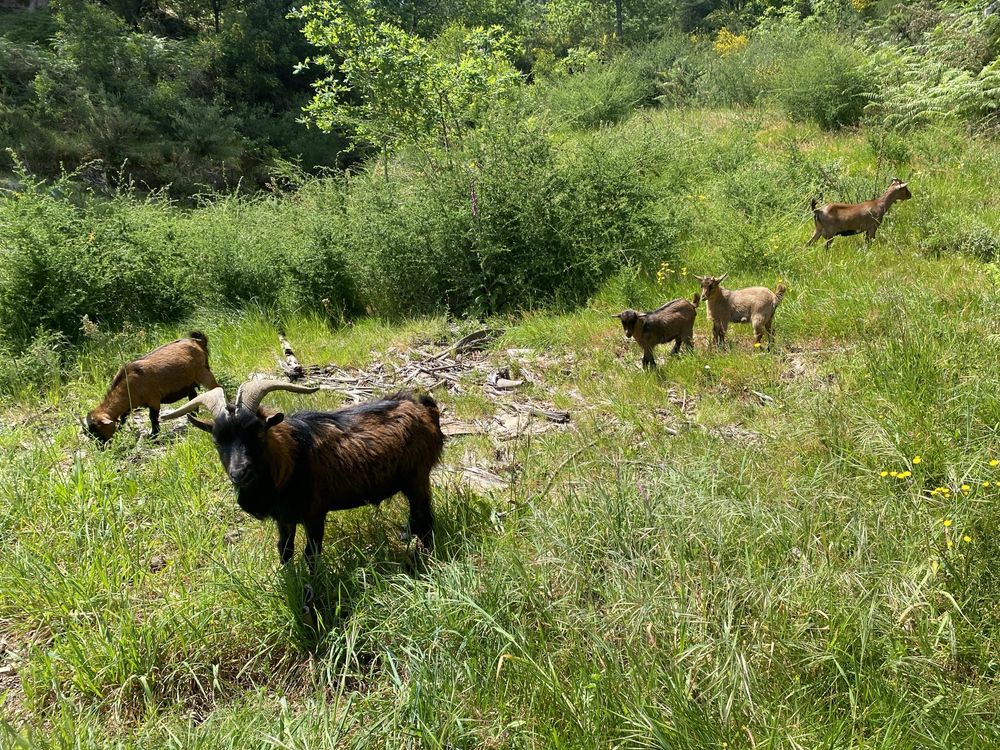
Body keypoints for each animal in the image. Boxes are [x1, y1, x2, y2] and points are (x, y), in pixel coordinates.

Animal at [86, 332, 219, 444]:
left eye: (98, 431)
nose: (101, 447)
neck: (129, 383)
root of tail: (198, 341)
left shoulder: (153, 399)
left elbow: (153, 418)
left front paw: (153, 435)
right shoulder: (128, 407)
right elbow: (123, 419)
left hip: (204, 373)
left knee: (216, 388)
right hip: (188, 382)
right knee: (193, 396)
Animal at [162, 382, 444, 568]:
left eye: (258, 432)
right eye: (217, 440)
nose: (239, 473)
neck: (292, 459)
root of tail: (424, 407)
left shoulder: (314, 512)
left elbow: (311, 552)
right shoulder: (284, 517)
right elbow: (284, 550)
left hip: (417, 478)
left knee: (425, 517)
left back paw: (423, 556)